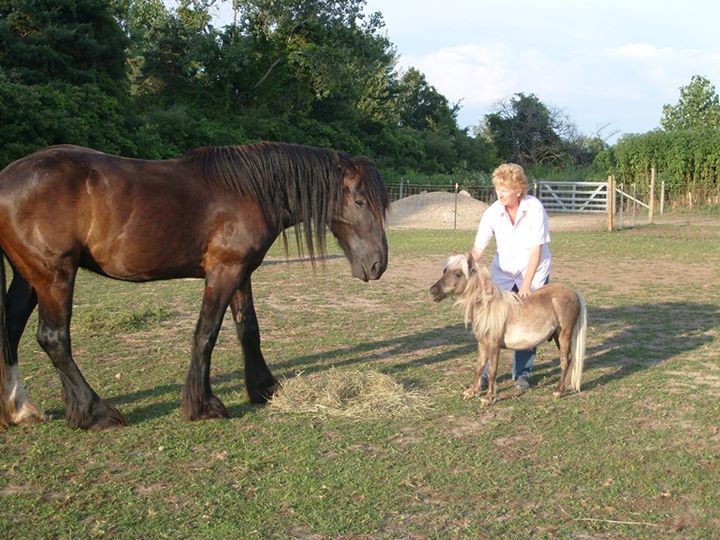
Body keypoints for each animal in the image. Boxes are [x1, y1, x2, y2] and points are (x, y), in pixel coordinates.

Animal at [0, 142, 388, 430]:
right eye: (359, 201)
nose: (377, 265)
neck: (248, 190)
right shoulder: (223, 272)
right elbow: (206, 334)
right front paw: (203, 406)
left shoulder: (241, 273)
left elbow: (249, 330)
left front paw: (264, 388)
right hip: (54, 275)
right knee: (53, 339)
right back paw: (96, 412)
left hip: (28, 277)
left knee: (12, 330)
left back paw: (19, 410)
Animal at [430, 255, 588, 402]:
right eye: (444, 271)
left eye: (458, 274)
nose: (432, 291)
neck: (488, 307)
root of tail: (574, 293)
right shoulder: (482, 344)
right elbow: (479, 367)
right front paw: (472, 392)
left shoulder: (494, 347)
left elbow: (492, 370)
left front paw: (489, 397)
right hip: (557, 336)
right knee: (569, 360)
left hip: (565, 335)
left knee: (565, 361)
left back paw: (558, 391)